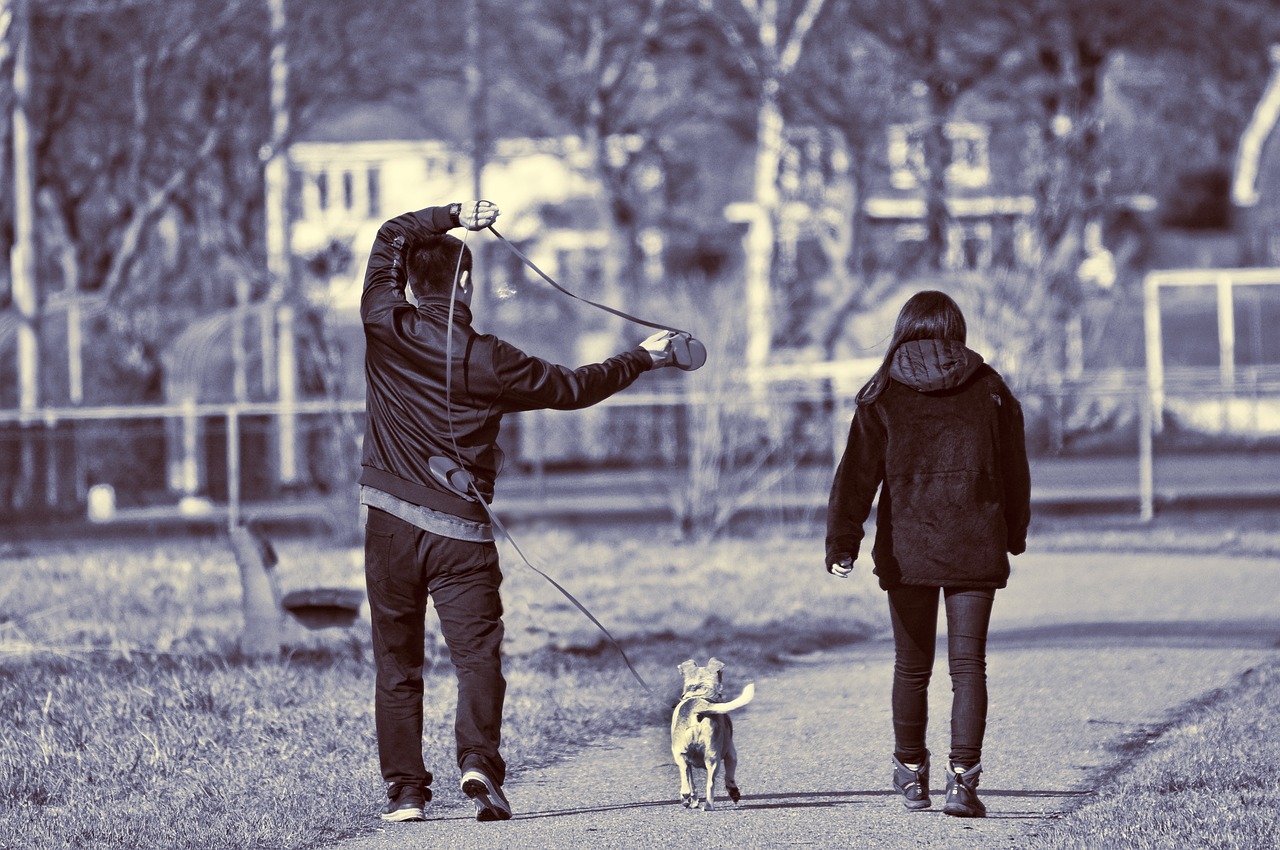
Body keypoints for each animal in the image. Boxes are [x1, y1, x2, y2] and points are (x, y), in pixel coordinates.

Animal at [670, 655, 747, 809]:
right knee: (710, 783)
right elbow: (729, 776)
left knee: (687, 777)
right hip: (712, 757)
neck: (699, 692)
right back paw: (708, 806)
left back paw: (687, 796)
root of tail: (698, 706)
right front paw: (734, 793)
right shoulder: (731, 754)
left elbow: (692, 783)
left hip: (681, 753)